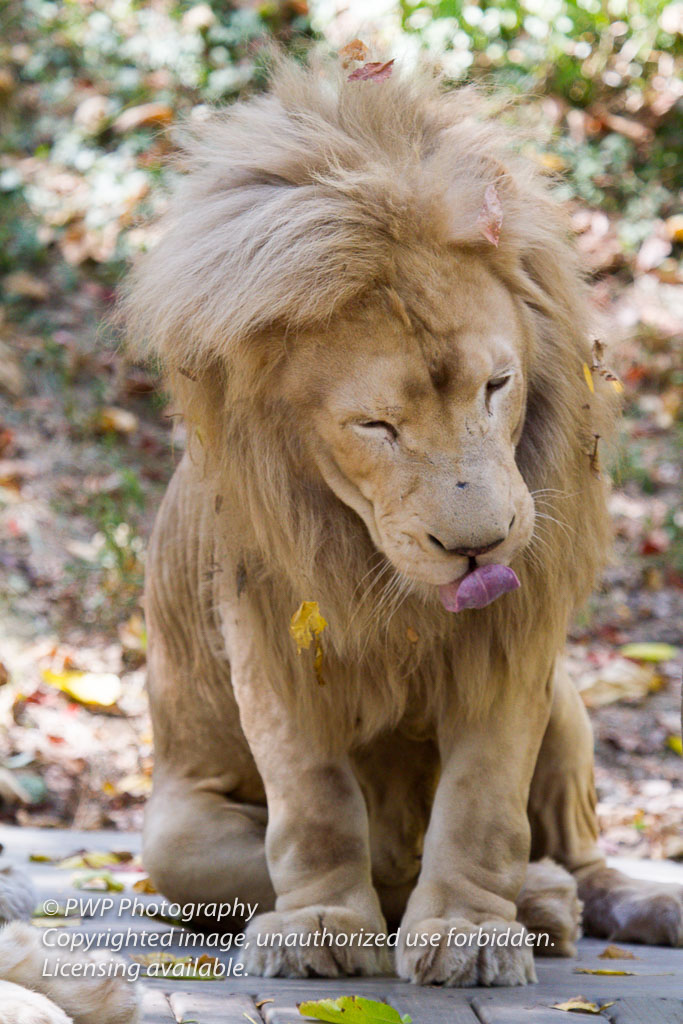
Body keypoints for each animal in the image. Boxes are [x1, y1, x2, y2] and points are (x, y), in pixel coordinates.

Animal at [122, 54, 683, 983]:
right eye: (375, 426)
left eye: (496, 385)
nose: (478, 548)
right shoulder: (269, 631)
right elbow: (314, 804)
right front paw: (320, 925)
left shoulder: (517, 637)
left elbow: (482, 799)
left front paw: (468, 930)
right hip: (174, 827)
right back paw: (533, 898)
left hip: (568, 705)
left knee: (581, 853)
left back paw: (598, 898)